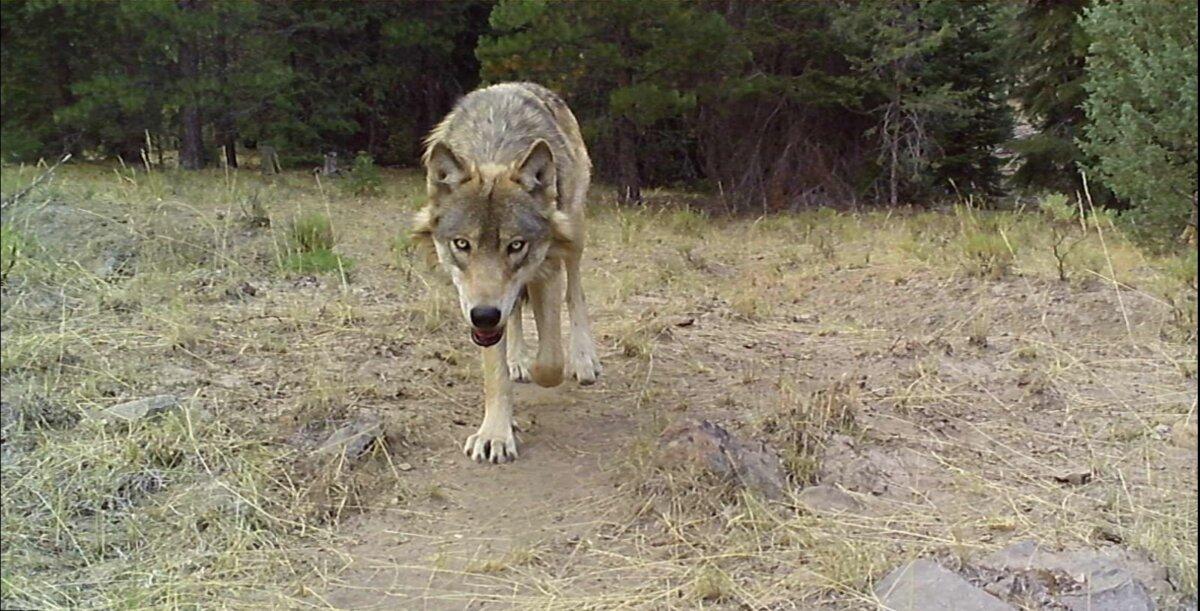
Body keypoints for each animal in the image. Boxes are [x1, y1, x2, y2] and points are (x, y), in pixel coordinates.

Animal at [412, 82, 602, 464]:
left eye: (516, 245)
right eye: (462, 244)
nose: (485, 315)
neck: (495, 149)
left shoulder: (547, 269)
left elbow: (550, 362)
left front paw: (545, 372)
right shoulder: (476, 307)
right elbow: (495, 374)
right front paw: (496, 433)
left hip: (575, 234)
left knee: (576, 295)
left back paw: (583, 359)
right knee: (513, 315)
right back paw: (517, 360)